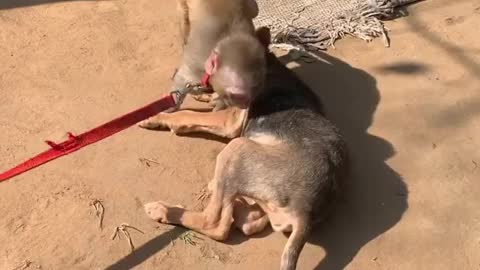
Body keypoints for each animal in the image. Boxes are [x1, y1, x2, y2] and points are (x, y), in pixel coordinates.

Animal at [139, 0, 266, 130]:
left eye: (251, 95)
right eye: (235, 95)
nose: (244, 106)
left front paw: (218, 101)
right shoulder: (197, 60)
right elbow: (182, 78)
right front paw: (169, 107)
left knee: (254, 9)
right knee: (184, 22)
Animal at [142, 25, 348, 270]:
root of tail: (306, 211)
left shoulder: (230, 121)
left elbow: (187, 114)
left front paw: (156, 116)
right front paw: (205, 96)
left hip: (237, 149)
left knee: (216, 225)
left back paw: (164, 210)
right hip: (264, 201)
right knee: (247, 222)